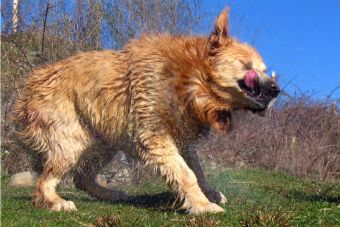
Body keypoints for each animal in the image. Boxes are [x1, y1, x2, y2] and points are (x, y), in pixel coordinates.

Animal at [13, 6, 278, 213]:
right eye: (249, 68)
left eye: (265, 69)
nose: (276, 90)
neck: (189, 79)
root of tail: (29, 86)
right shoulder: (153, 135)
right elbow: (185, 173)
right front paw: (202, 205)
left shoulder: (182, 136)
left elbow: (197, 169)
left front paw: (209, 193)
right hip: (70, 138)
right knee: (45, 180)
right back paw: (55, 201)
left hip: (103, 141)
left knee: (82, 177)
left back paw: (111, 195)